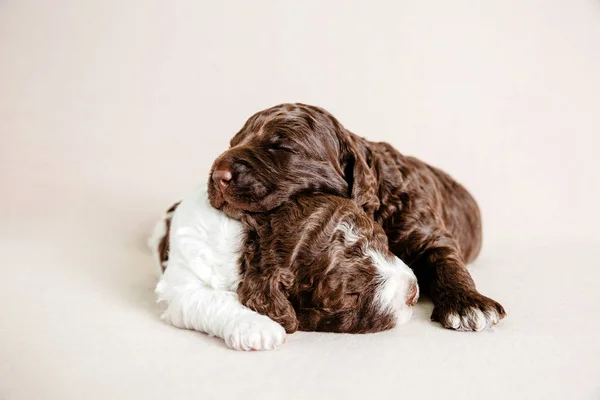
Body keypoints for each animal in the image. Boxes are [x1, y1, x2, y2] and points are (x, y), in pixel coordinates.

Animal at [209, 103, 504, 332]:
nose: (217, 175)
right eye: (233, 143)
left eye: (281, 146)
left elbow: (447, 260)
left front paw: (468, 303)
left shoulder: (425, 229)